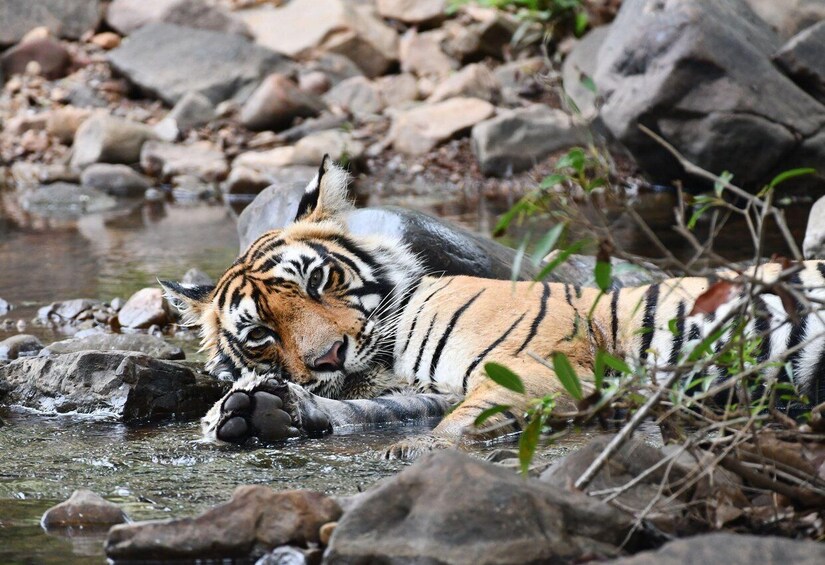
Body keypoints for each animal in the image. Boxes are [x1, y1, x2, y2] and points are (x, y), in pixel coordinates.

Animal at [161, 157, 825, 459]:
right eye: (260, 334)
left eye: (321, 279)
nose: (329, 358)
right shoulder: (437, 388)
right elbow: (380, 409)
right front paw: (257, 412)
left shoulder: (537, 370)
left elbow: (455, 424)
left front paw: (411, 455)